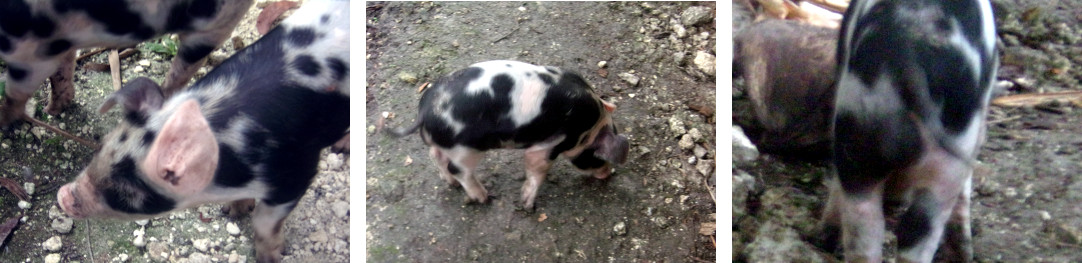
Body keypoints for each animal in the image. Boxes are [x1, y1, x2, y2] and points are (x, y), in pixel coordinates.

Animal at [54, 1, 346, 261]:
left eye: (127, 193)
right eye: (101, 147)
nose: (63, 196)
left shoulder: (297, 172)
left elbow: (265, 222)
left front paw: (269, 256)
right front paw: (233, 211)